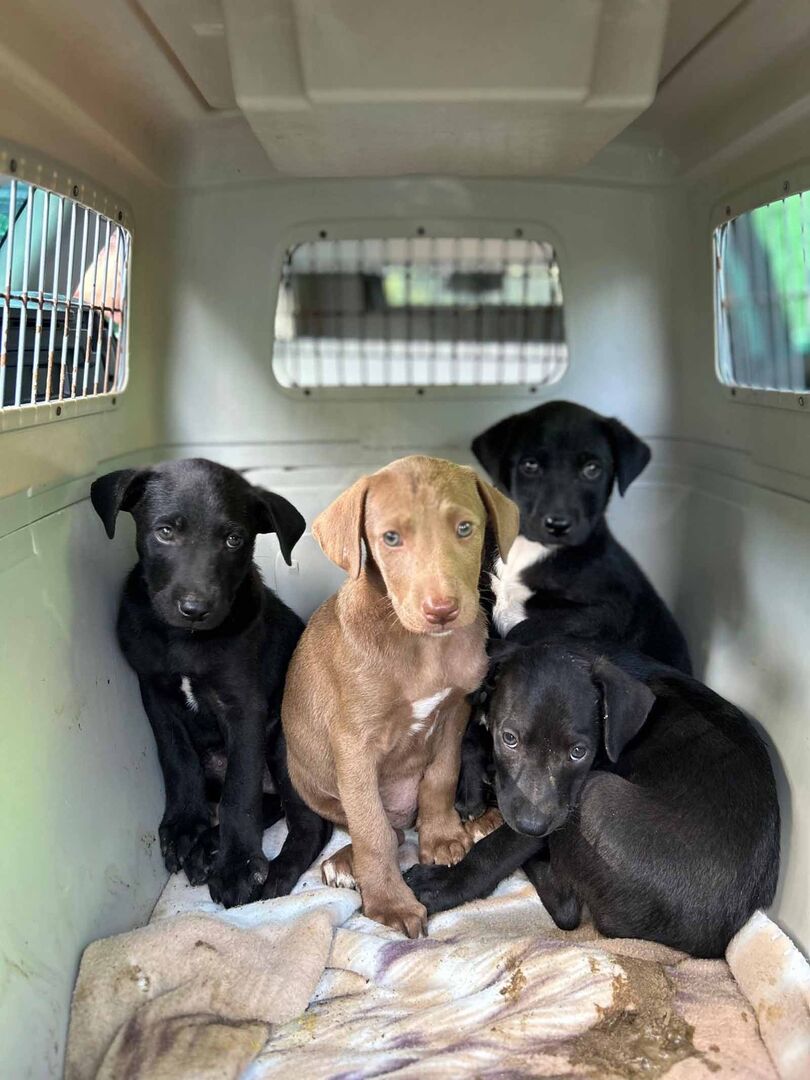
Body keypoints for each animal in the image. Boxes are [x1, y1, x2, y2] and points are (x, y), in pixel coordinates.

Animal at [91, 458, 331, 908]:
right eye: (165, 531)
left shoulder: (245, 707)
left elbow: (239, 792)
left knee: (307, 822)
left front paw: (239, 867)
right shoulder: (155, 693)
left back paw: (273, 874)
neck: (186, 639)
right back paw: (206, 845)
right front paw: (186, 826)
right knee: (269, 803)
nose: (195, 608)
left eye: (234, 540)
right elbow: (177, 758)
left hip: (284, 741)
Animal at [282, 456, 518, 937]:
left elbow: (442, 776)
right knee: (379, 828)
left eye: (465, 528)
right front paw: (389, 902)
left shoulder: (455, 712)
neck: (423, 649)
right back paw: (344, 862)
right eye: (390, 538)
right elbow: (371, 830)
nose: (442, 609)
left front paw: (442, 836)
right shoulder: (354, 745)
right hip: (310, 782)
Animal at [408, 640, 780, 958]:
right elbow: (471, 729)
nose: (533, 825)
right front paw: (470, 784)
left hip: (595, 796)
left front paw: (444, 884)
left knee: (567, 911)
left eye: (578, 752)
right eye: (509, 738)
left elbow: (498, 849)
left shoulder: (564, 806)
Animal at [454, 399, 692, 820]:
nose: (558, 524)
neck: (533, 550)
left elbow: (521, 632)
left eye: (592, 469)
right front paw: (469, 782)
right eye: (530, 465)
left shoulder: (602, 609)